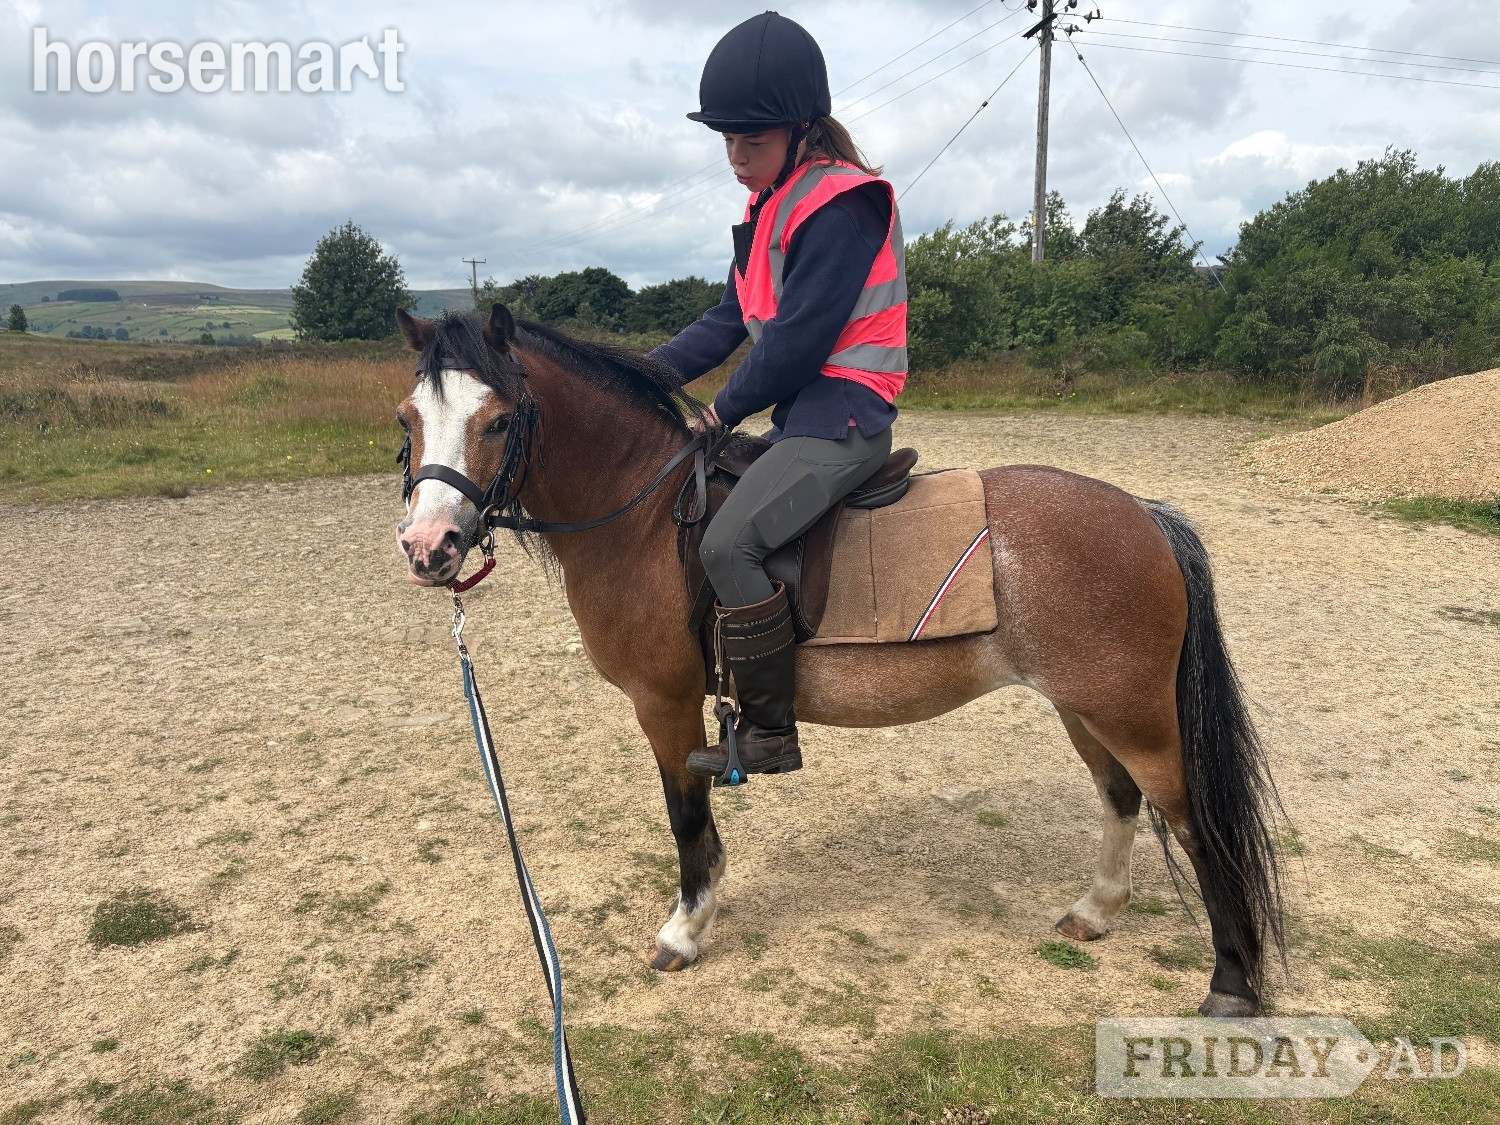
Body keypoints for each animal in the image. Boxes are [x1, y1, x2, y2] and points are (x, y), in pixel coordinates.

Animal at [391, 303, 1286, 1018]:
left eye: (499, 420)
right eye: (407, 420)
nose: (430, 547)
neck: (643, 514)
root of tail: (1144, 512)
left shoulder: (665, 702)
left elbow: (686, 817)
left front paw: (684, 928)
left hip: (1132, 712)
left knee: (1195, 823)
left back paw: (1232, 983)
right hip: (1083, 705)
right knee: (1120, 796)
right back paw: (1094, 912)